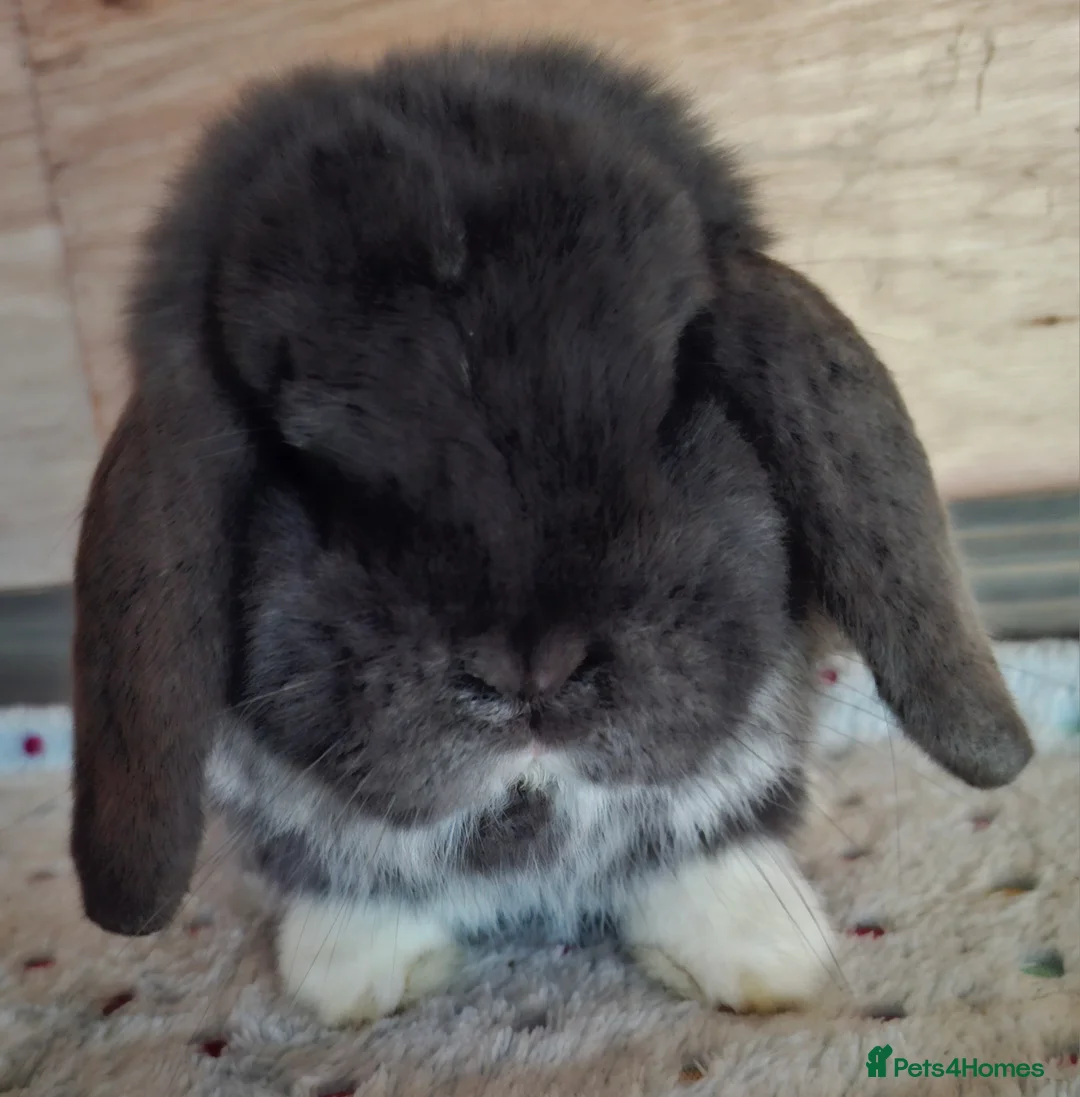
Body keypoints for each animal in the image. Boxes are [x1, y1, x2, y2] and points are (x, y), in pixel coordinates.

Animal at [70, 40, 1034, 1027]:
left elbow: (710, 837)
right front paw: (357, 974)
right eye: (301, 458)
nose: (529, 669)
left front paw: (758, 953)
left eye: (672, 399)